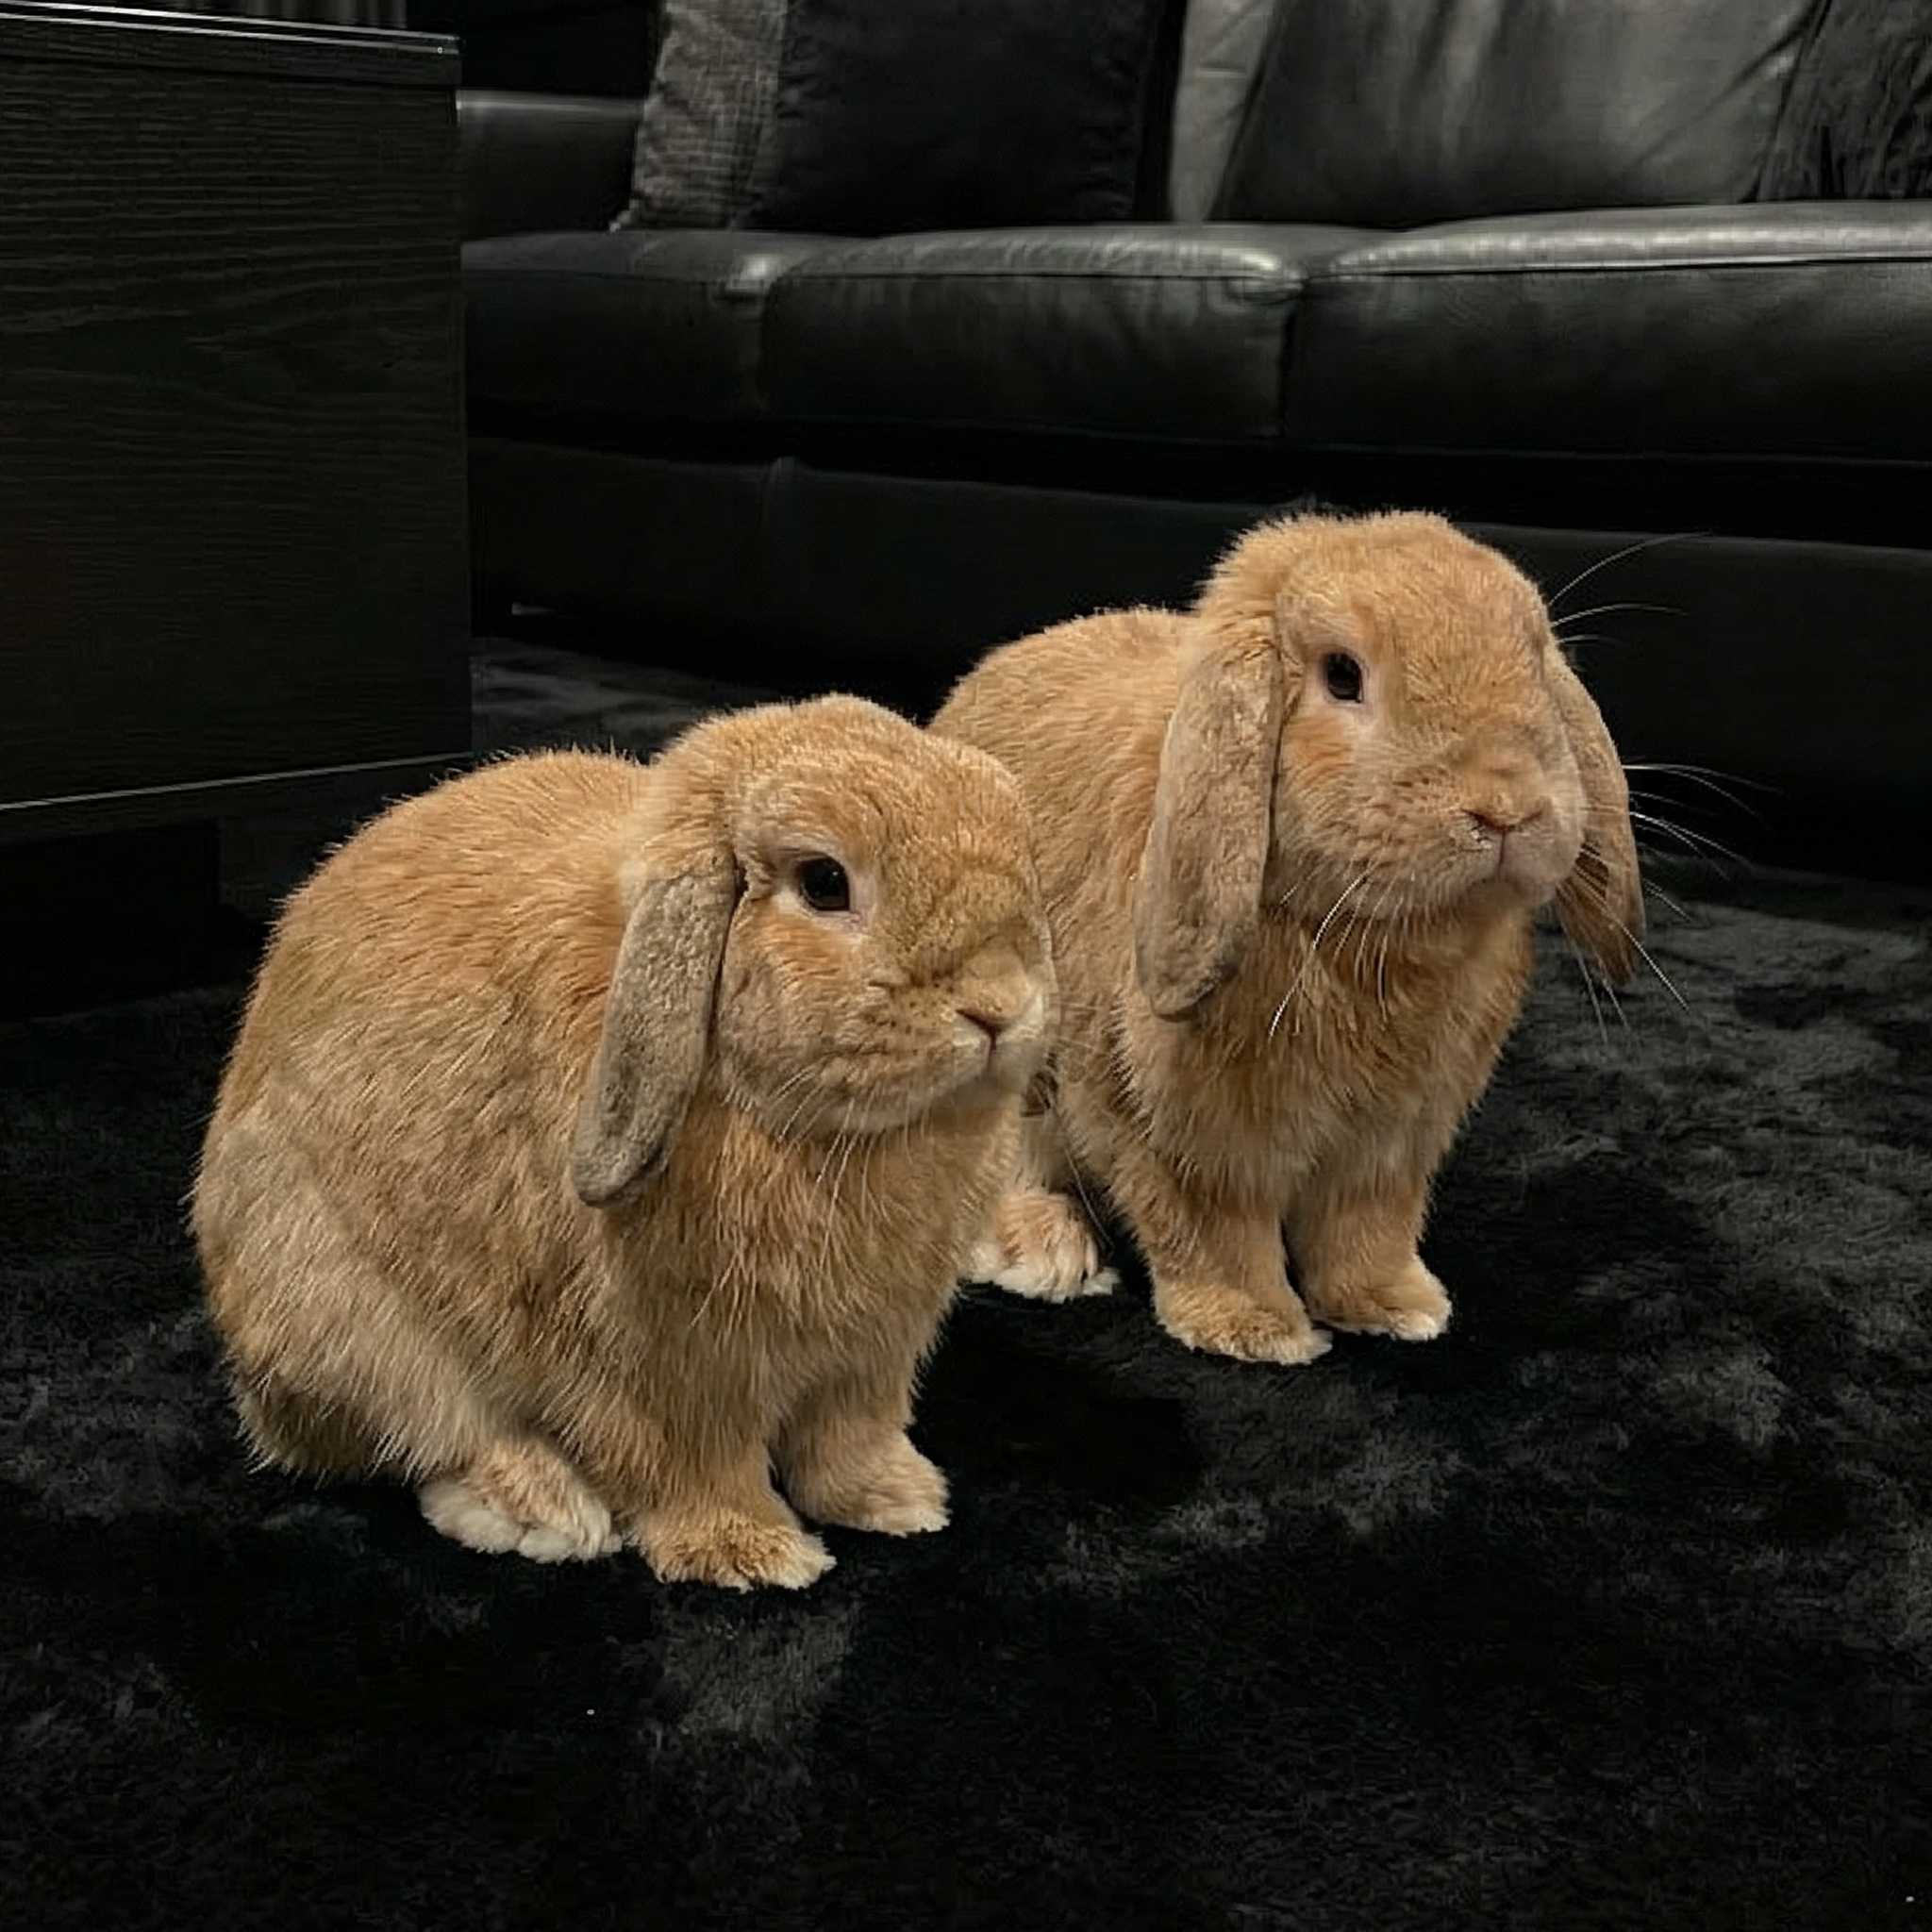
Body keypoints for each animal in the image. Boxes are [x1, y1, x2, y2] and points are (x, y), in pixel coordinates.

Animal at [192, 694, 1054, 1589]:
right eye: (824, 882)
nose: (1001, 1005)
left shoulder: (872, 1360)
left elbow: (849, 1440)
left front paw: (897, 1502)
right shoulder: (663, 1374)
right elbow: (692, 1466)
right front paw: (751, 1554)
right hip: (347, 1315)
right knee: (429, 1431)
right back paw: (541, 1511)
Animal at [931, 509, 1643, 1366]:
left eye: (1536, 659)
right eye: (1342, 674)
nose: (1506, 806)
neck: (1370, 944)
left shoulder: (1389, 1146)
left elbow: (1365, 1229)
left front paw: (1397, 1308)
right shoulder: (1174, 1136)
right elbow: (1212, 1233)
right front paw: (1258, 1332)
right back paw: (1045, 1252)